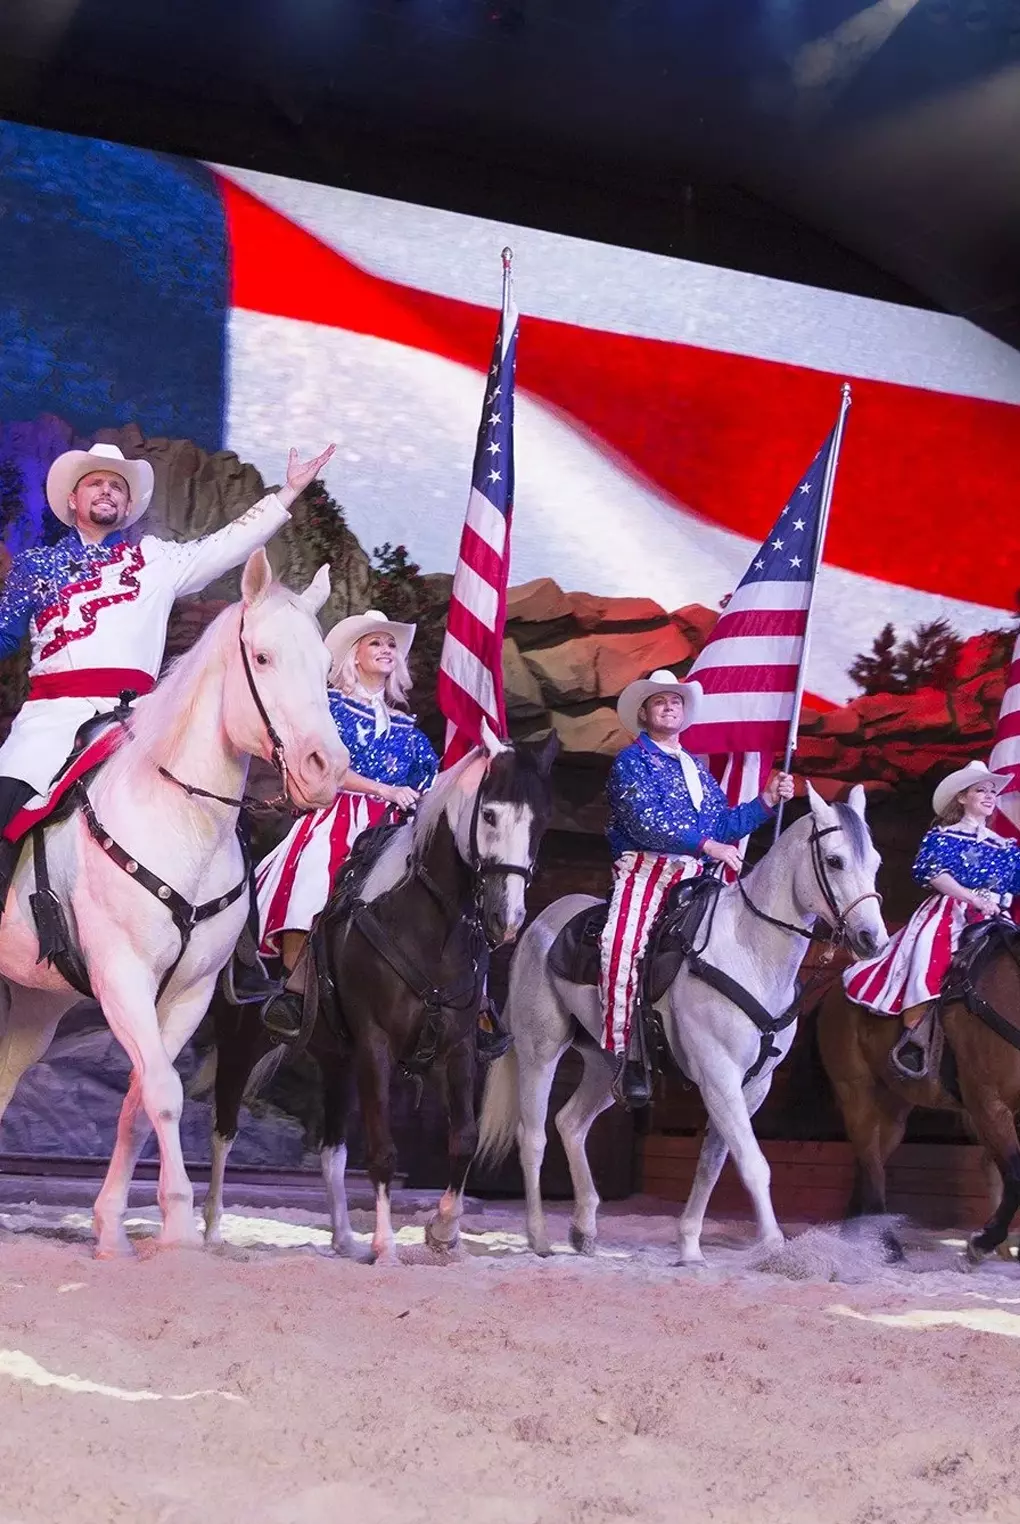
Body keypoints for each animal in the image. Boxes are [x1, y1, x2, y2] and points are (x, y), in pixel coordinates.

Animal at [201, 731, 551, 1255]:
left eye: (539, 823)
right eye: (489, 814)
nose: (505, 920)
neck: (426, 924)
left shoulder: (458, 1046)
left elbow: (464, 1139)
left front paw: (443, 1229)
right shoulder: (375, 1043)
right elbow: (384, 1148)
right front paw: (386, 1243)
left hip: (336, 1058)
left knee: (332, 1150)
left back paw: (345, 1237)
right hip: (241, 1038)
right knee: (223, 1129)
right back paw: (212, 1229)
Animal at [817, 914, 1018, 1261]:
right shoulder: (987, 1104)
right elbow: (1016, 1173)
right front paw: (983, 1240)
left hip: (893, 1108)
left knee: (870, 1161)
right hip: (855, 1093)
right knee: (871, 1162)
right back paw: (885, 1243)